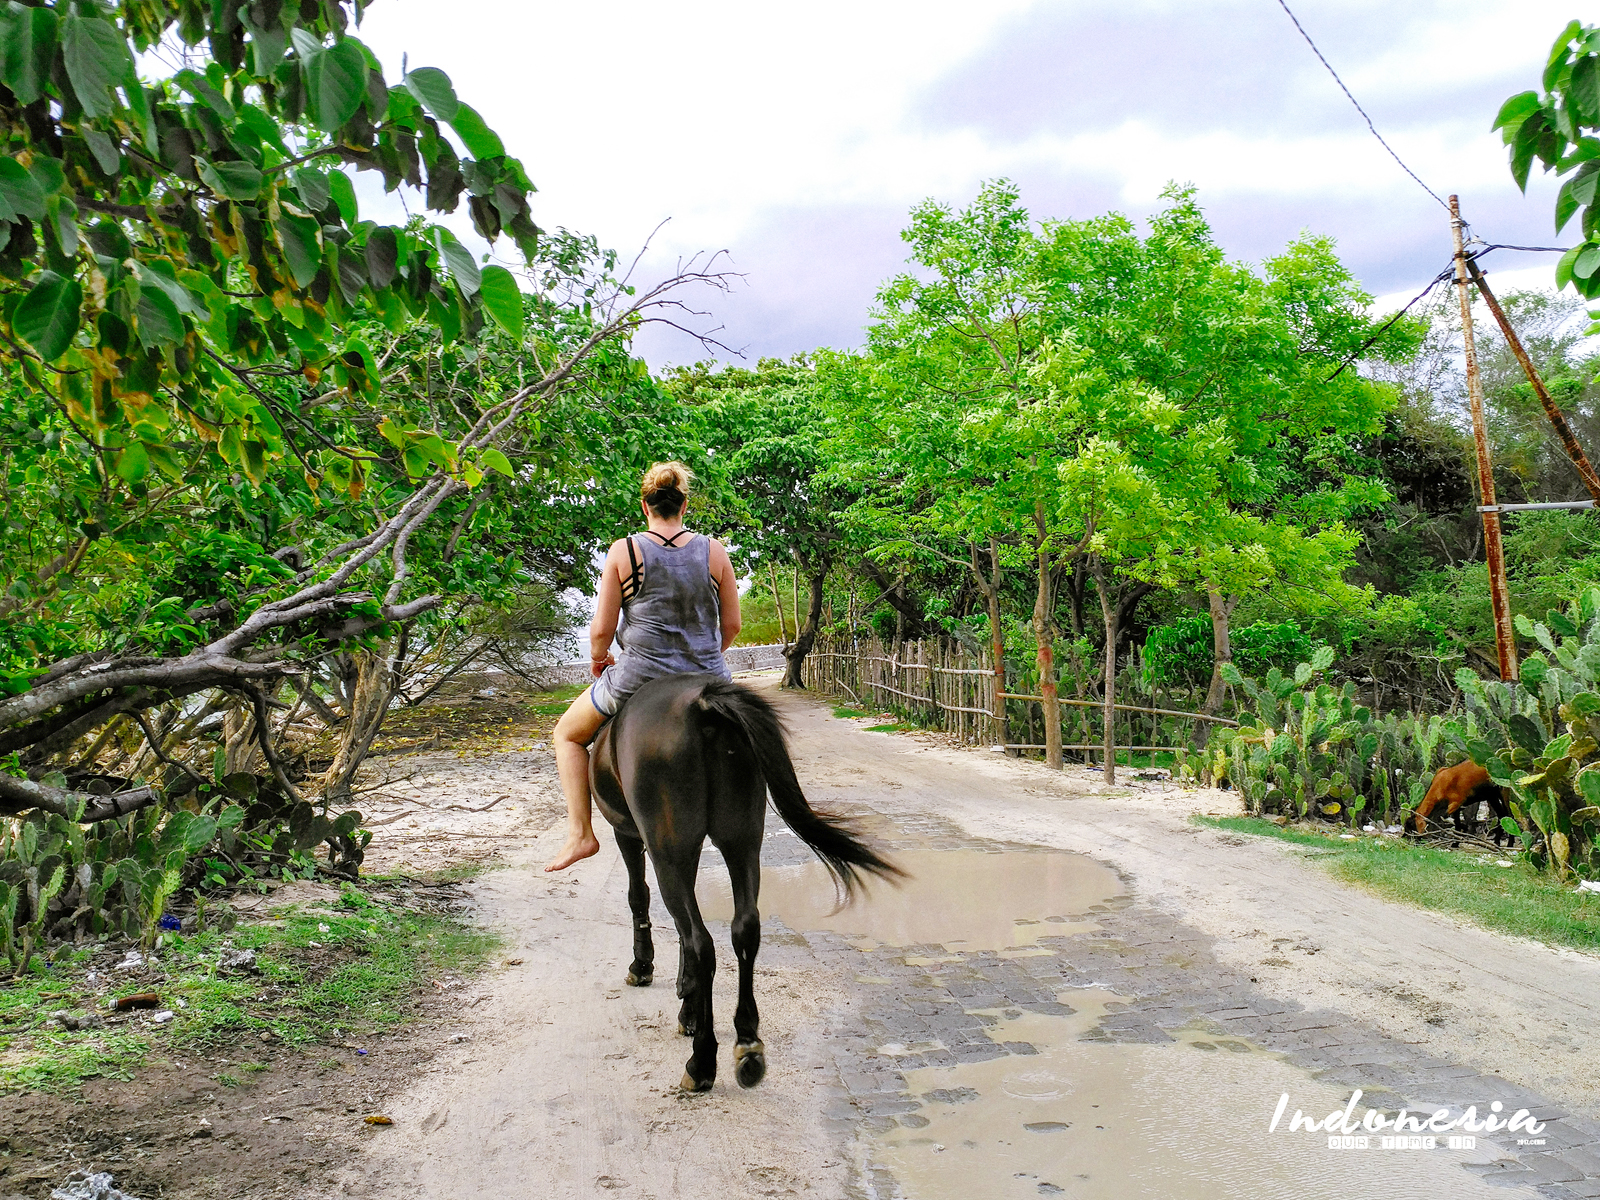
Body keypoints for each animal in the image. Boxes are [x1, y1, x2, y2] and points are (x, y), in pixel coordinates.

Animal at [588, 678, 902, 1100]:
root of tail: (700, 704)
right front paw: (687, 1005)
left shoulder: (628, 835)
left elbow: (640, 899)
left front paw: (643, 969)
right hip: (741, 841)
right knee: (744, 929)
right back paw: (748, 1044)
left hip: (670, 851)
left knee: (701, 941)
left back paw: (702, 1063)